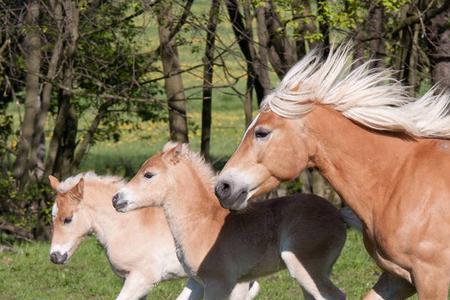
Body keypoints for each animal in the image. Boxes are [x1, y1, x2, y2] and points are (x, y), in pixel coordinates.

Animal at [48, 172, 260, 298]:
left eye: (67, 219)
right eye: (52, 216)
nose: (55, 257)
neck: (128, 226)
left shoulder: (142, 279)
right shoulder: (131, 280)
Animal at [111, 143, 348, 300]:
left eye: (149, 175)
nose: (116, 199)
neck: (202, 222)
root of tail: (339, 216)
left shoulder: (218, 282)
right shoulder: (199, 282)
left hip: (303, 267)